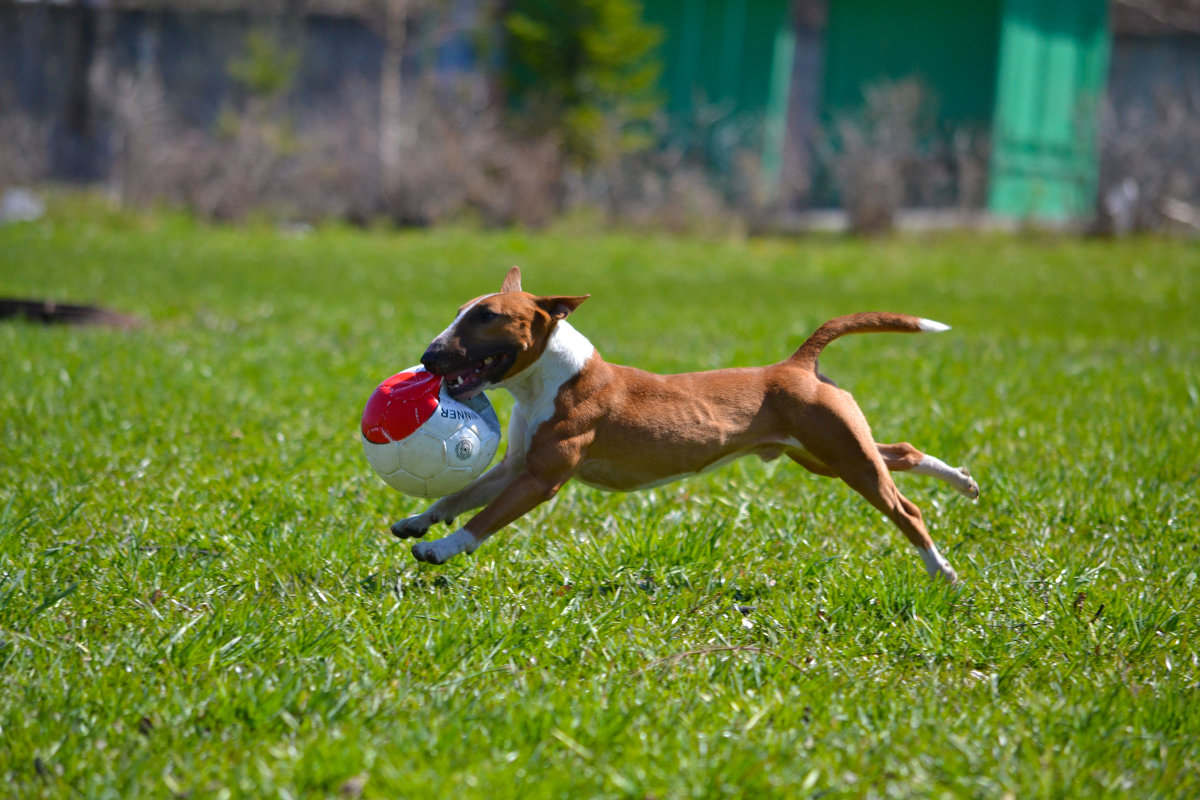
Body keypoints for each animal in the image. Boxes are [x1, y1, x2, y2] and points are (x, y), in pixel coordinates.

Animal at [393, 267, 974, 582]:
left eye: (486, 316)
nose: (427, 357)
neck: (552, 379)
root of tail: (798, 364)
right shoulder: (516, 465)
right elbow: (458, 495)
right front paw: (417, 522)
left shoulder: (540, 479)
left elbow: (483, 519)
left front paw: (439, 549)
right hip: (822, 453)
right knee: (900, 452)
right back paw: (963, 481)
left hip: (842, 455)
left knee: (905, 508)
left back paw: (941, 570)